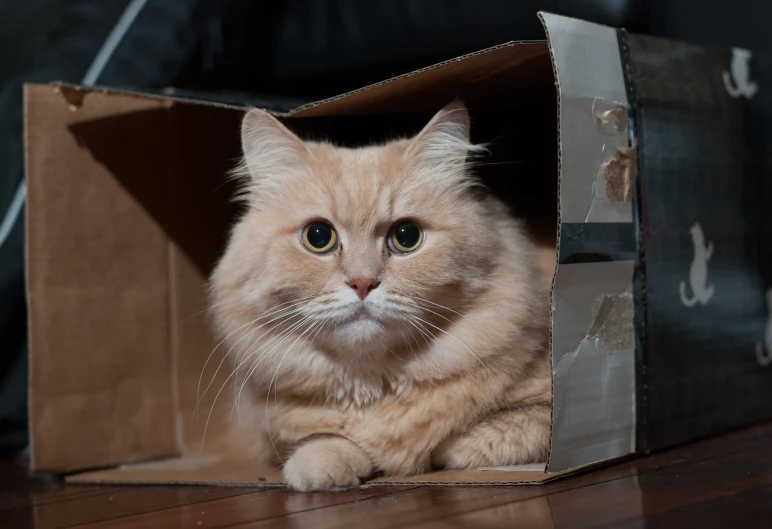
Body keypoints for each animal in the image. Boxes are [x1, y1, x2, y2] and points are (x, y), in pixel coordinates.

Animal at [208, 100, 552, 490]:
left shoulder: (545, 415)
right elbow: (328, 441)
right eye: (318, 236)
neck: (373, 385)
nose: (362, 283)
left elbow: (469, 440)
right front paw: (321, 467)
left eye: (406, 236)